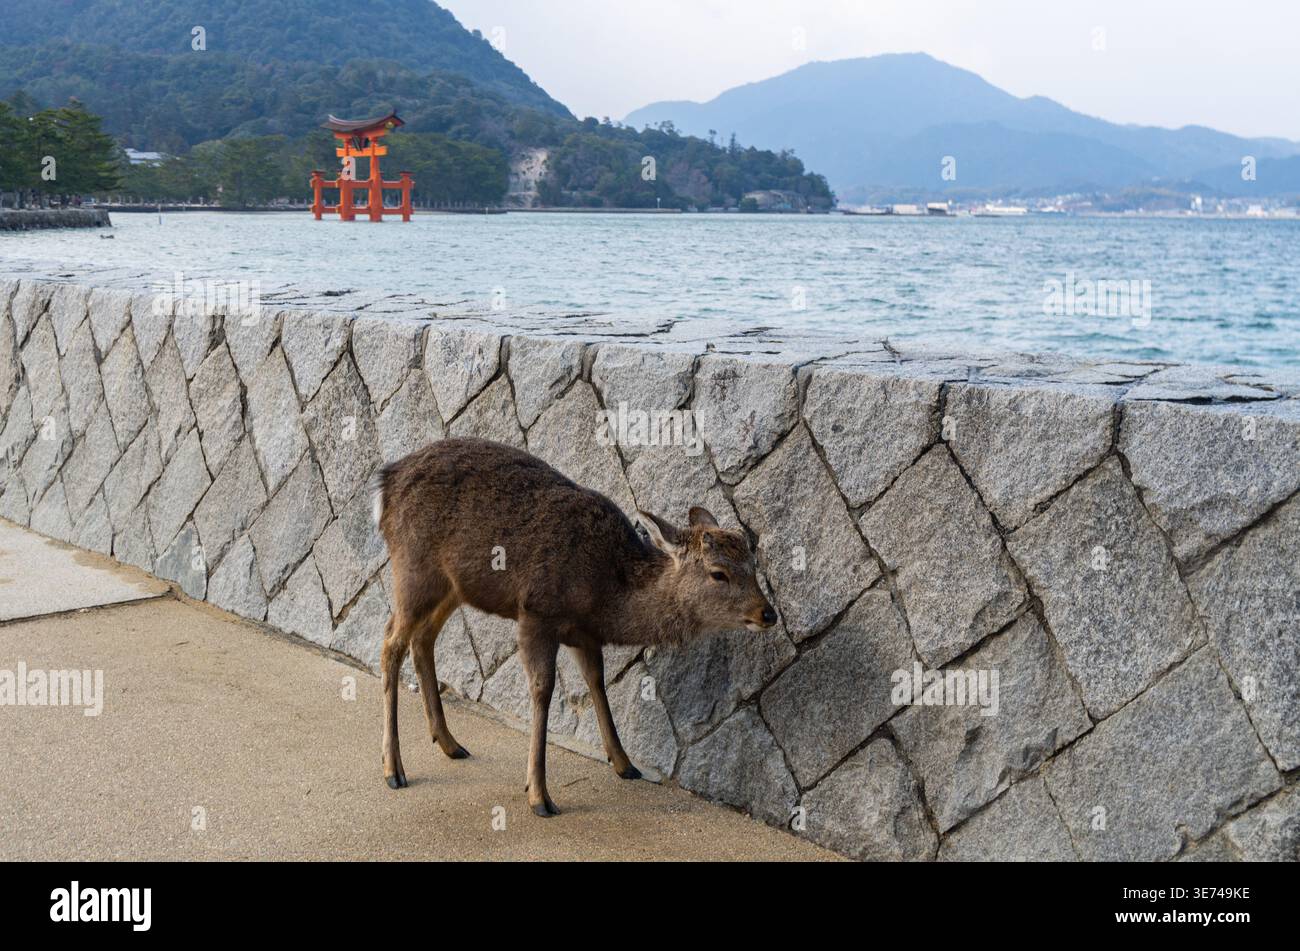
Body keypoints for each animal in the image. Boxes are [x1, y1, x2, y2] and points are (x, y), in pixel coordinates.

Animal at [371, 437, 778, 817]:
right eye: (718, 573)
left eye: (753, 562)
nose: (768, 614)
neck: (604, 594)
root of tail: (385, 483)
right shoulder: (536, 613)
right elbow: (543, 689)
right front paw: (539, 794)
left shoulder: (584, 633)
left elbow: (597, 681)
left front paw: (625, 764)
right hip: (413, 567)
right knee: (391, 641)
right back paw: (394, 769)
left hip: (453, 585)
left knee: (422, 639)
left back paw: (450, 743)